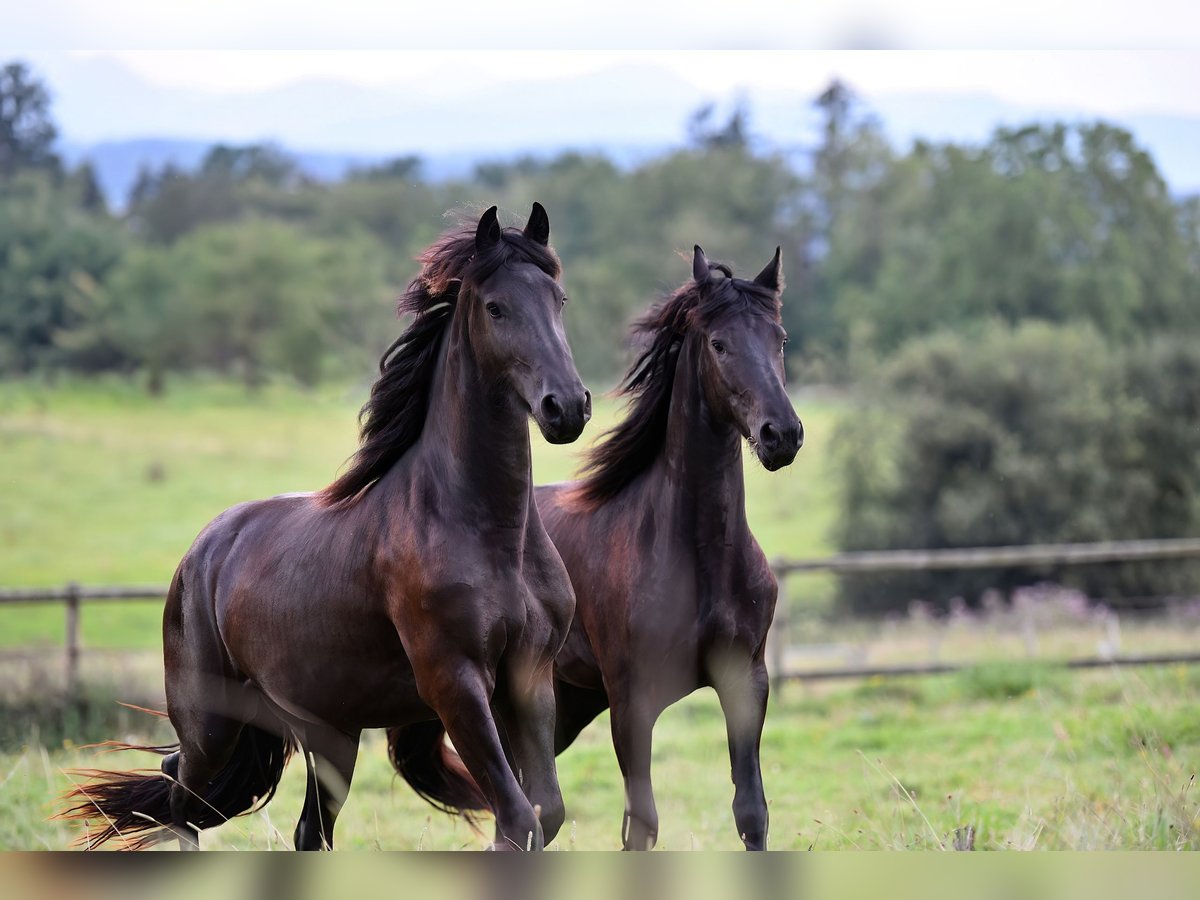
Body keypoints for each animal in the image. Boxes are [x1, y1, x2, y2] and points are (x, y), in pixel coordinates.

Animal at [64, 204, 590, 854]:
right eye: (496, 307)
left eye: (558, 299)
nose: (566, 407)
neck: (487, 533)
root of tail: (201, 553)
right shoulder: (455, 684)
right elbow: (519, 819)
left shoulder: (529, 676)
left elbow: (544, 812)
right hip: (212, 724)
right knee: (181, 800)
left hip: (329, 733)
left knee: (302, 830)